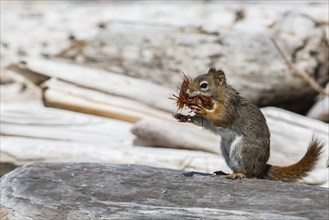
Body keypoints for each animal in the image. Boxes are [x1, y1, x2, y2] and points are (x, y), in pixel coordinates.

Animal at [173, 68, 322, 181]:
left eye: (204, 85)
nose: (186, 93)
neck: (219, 95)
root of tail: (262, 168)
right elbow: (201, 121)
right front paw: (184, 117)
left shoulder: (228, 108)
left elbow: (220, 118)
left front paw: (203, 110)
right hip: (226, 152)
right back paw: (226, 173)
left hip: (243, 150)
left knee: (251, 174)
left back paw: (240, 174)